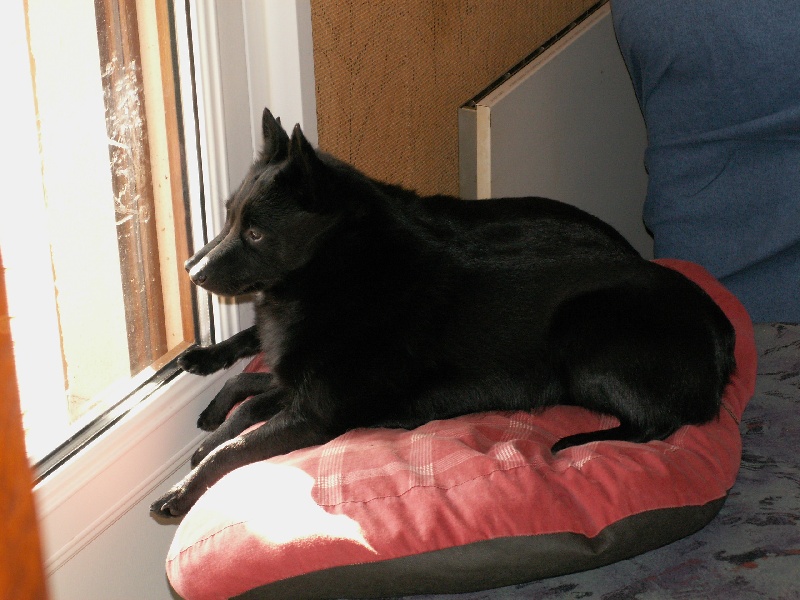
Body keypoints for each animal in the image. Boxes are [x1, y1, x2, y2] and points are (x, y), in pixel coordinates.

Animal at [150, 108, 735, 518]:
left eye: (255, 233)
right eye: (229, 216)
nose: (191, 271)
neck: (342, 272)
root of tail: (720, 334)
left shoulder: (315, 413)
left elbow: (235, 446)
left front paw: (181, 491)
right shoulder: (298, 384)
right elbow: (244, 409)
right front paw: (209, 426)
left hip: (585, 338)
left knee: (657, 424)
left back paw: (576, 442)